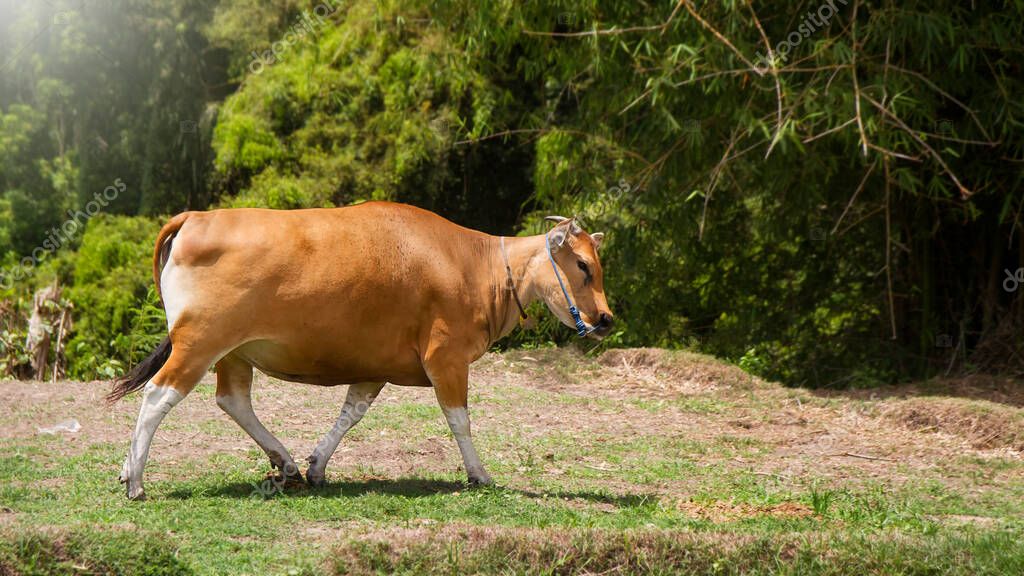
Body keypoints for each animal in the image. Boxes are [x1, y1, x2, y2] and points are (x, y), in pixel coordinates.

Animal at [109, 201, 610, 498]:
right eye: (583, 265)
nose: (605, 319)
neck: (474, 265)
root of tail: (194, 216)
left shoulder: (374, 368)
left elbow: (351, 413)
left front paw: (316, 466)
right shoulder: (446, 360)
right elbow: (460, 421)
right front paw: (479, 473)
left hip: (232, 352)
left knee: (233, 400)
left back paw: (285, 464)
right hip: (199, 343)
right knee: (158, 395)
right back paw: (136, 479)